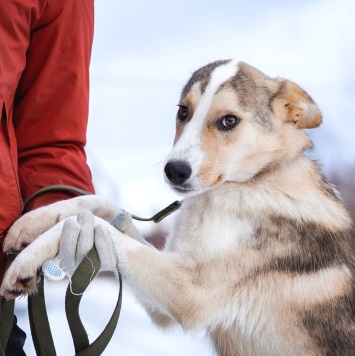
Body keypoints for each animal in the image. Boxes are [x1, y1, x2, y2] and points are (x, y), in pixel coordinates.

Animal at [0, 59, 355, 354]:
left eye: (229, 121)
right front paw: (33, 221)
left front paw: (27, 260)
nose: (174, 170)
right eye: (184, 111)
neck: (252, 182)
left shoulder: (190, 293)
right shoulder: (168, 293)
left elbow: (104, 230)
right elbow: (99, 207)